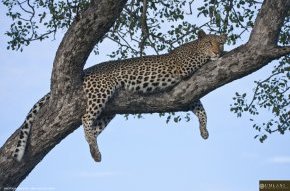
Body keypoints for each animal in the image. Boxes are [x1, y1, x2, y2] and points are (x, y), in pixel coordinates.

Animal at [11, 30, 227, 163]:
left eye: (220, 43)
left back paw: (95, 151)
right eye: (209, 43)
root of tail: (87, 70)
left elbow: (200, 109)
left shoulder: (188, 94)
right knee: (85, 118)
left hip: (108, 111)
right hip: (100, 93)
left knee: (92, 130)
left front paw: (204, 131)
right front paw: (216, 57)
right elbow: (202, 62)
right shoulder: (184, 66)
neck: (193, 45)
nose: (218, 50)